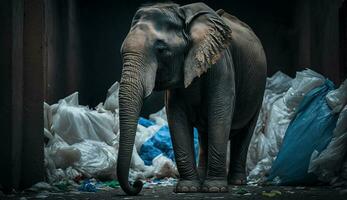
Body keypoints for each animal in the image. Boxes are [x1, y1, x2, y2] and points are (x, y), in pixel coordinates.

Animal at [117, 1, 266, 195]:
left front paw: (215, 189)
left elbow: (219, 115)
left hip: (259, 88)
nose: (138, 184)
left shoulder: (221, 66)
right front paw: (188, 188)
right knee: (204, 134)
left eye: (161, 50)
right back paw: (203, 178)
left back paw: (237, 182)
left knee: (245, 132)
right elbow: (177, 119)